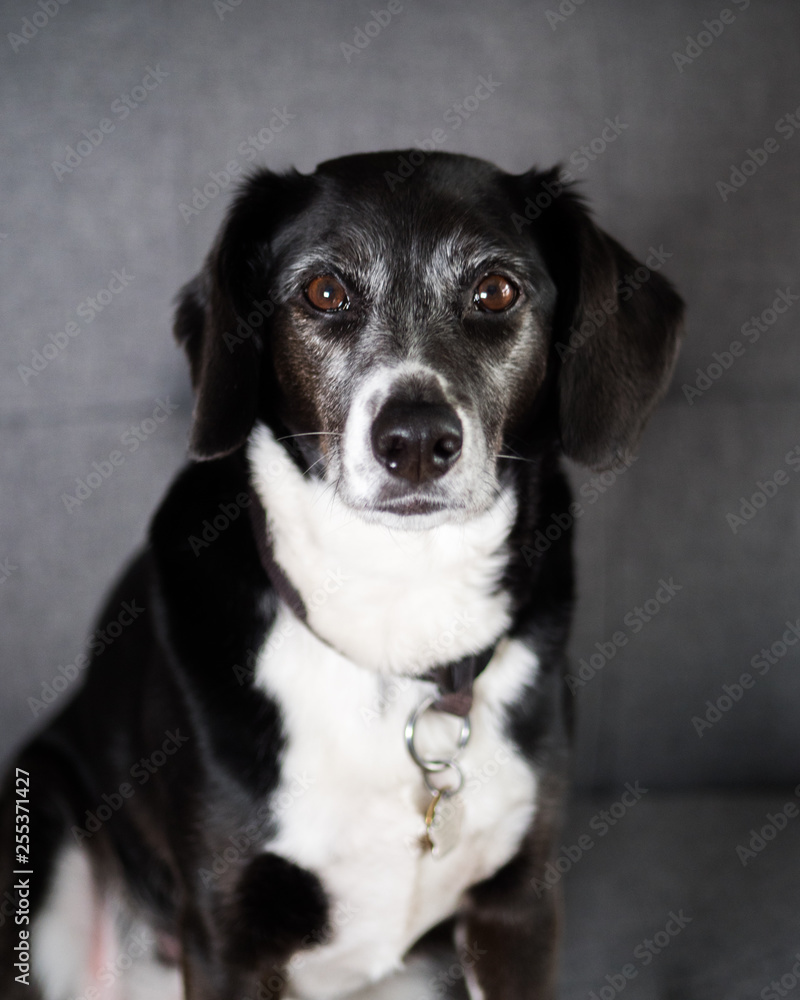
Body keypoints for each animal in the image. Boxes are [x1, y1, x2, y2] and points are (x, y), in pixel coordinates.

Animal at [1, 150, 680, 1000]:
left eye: (496, 290)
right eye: (325, 291)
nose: (416, 440)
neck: (396, 612)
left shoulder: (519, 904)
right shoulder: (226, 934)